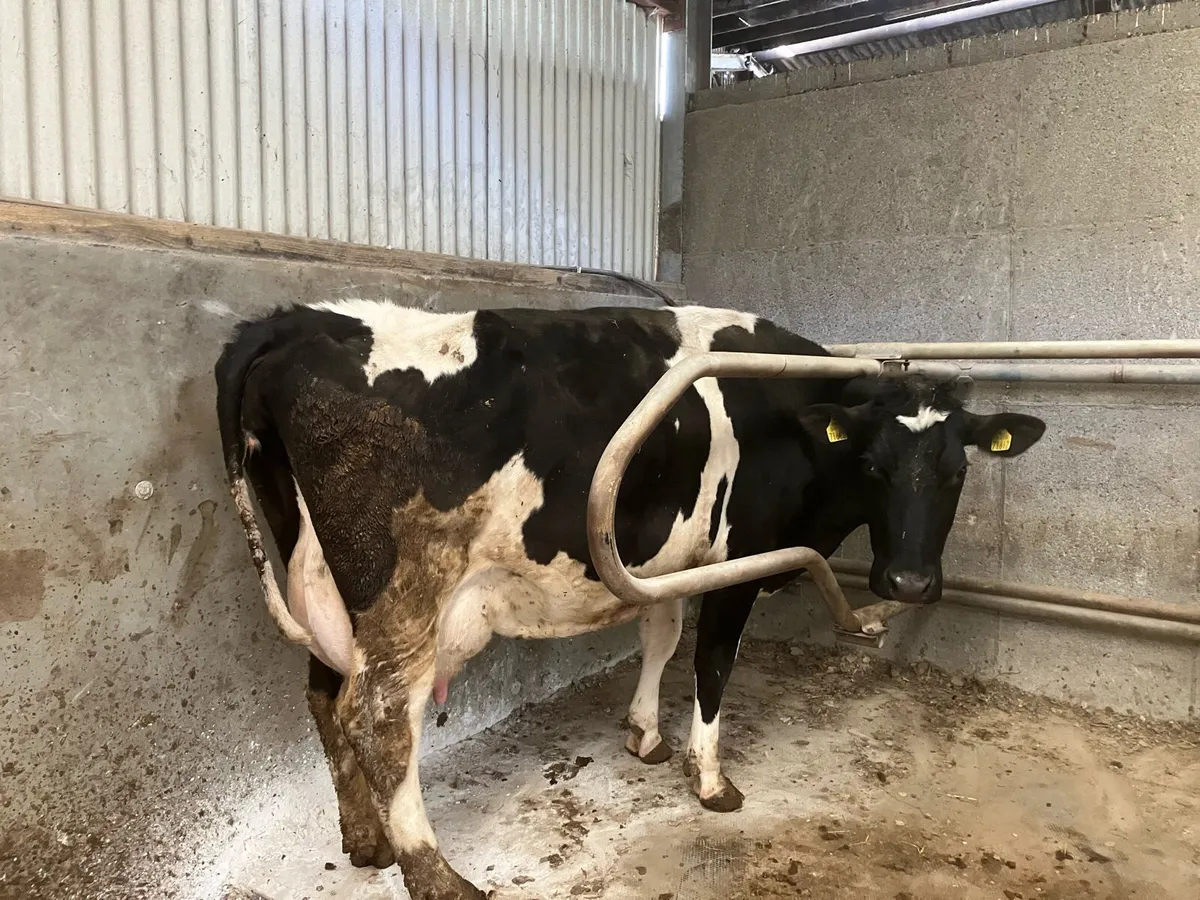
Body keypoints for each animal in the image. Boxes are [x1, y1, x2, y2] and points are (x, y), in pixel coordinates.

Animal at [215, 301, 1045, 900]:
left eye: (957, 471)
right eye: (872, 464)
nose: (909, 585)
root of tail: (297, 320)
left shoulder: (668, 560)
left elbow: (661, 636)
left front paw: (643, 733)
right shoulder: (739, 561)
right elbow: (712, 663)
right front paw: (710, 779)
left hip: (324, 586)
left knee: (324, 696)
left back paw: (365, 839)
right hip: (403, 598)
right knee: (378, 717)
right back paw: (437, 876)